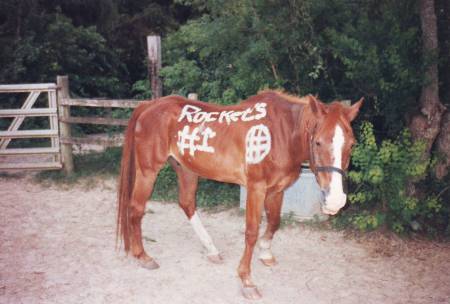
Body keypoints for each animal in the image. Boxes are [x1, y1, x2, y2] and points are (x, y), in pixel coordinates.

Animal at [116, 90, 362, 300]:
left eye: (351, 144)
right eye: (318, 142)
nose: (336, 201)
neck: (280, 134)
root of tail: (149, 105)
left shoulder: (277, 190)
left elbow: (274, 222)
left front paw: (266, 253)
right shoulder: (256, 189)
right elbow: (251, 232)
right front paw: (247, 280)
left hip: (186, 169)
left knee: (187, 204)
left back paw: (211, 249)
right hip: (148, 171)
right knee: (136, 208)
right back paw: (143, 256)